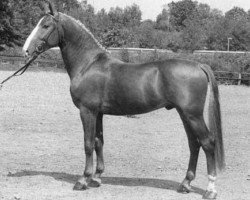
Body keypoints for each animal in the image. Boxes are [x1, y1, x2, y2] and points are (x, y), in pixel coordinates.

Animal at [23, 1, 225, 198]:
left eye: (46, 25)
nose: (26, 50)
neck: (88, 64)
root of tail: (199, 65)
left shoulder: (87, 111)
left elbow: (88, 144)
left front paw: (83, 180)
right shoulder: (98, 113)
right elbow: (99, 142)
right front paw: (96, 178)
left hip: (193, 115)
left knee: (208, 143)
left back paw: (210, 189)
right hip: (185, 114)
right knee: (194, 144)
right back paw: (185, 184)